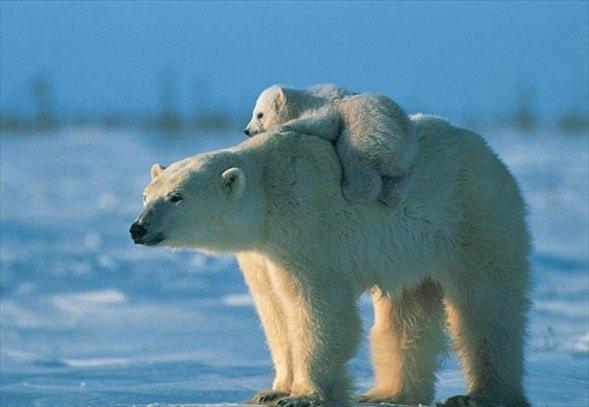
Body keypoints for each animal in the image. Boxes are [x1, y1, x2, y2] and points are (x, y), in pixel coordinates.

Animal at [131, 115, 532, 407]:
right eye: (147, 194)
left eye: (177, 196)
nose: (138, 228)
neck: (268, 190)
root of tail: (491, 154)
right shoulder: (262, 254)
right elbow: (274, 311)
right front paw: (273, 390)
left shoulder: (306, 223)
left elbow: (316, 307)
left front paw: (304, 396)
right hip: (410, 253)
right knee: (406, 315)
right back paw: (386, 394)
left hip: (474, 218)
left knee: (487, 306)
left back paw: (482, 395)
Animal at [241, 85, 416, 207]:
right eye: (254, 113)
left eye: (260, 115)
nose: (247, 131)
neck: (304, 100)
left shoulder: (323, 106)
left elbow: (325, 123)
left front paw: (282, 127)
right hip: (404, 160)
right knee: (399, 183)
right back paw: (389, 197)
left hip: (368, 136)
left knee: (354, 158)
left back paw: (349, 189)